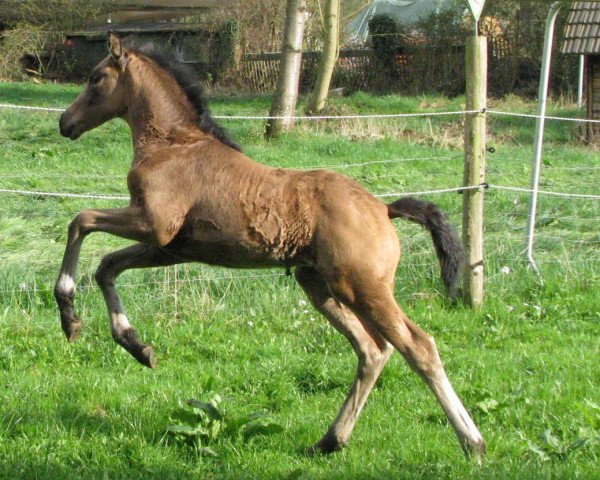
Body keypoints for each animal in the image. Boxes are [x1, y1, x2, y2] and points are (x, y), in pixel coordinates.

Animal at [55, 33, 488, 462]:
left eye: (96, 78)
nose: (64, 122)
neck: (174, 145)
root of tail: (384, 208)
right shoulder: (173, 247)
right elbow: (106, 266)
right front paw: (135, 345)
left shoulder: (154, 225)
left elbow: (80, 220)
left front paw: (69, 316)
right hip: (318, 285)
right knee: (372, 350)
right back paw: (328, 441)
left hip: (363, 287)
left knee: (418, 346)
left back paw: (473, 443)